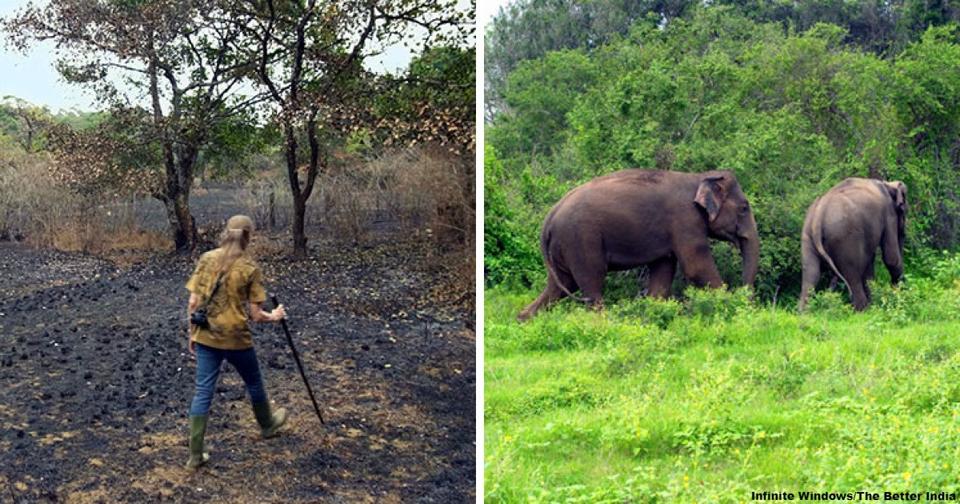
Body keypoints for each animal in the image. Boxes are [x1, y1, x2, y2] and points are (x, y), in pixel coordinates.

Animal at [516, 168, 756, 318]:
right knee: (591, 281)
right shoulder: (685, 220)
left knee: (560, 285)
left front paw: (654, 313)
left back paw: (523, 320)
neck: (700, 177)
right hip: (580, 240)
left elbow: (663, 271)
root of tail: (549, 218)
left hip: (562, 247)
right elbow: (696, 268)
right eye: (744, 208)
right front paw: (731, 307)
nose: (745, 297)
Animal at [796, 177, 908, 312]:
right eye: (903, 209)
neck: (887, 184)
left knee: (811, 273)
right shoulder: (889, 213)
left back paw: (804, 313)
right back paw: (862, 310)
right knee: (852, 273)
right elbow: (891, 258)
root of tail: (818, 215)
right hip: (844, 237)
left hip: (807, 235)